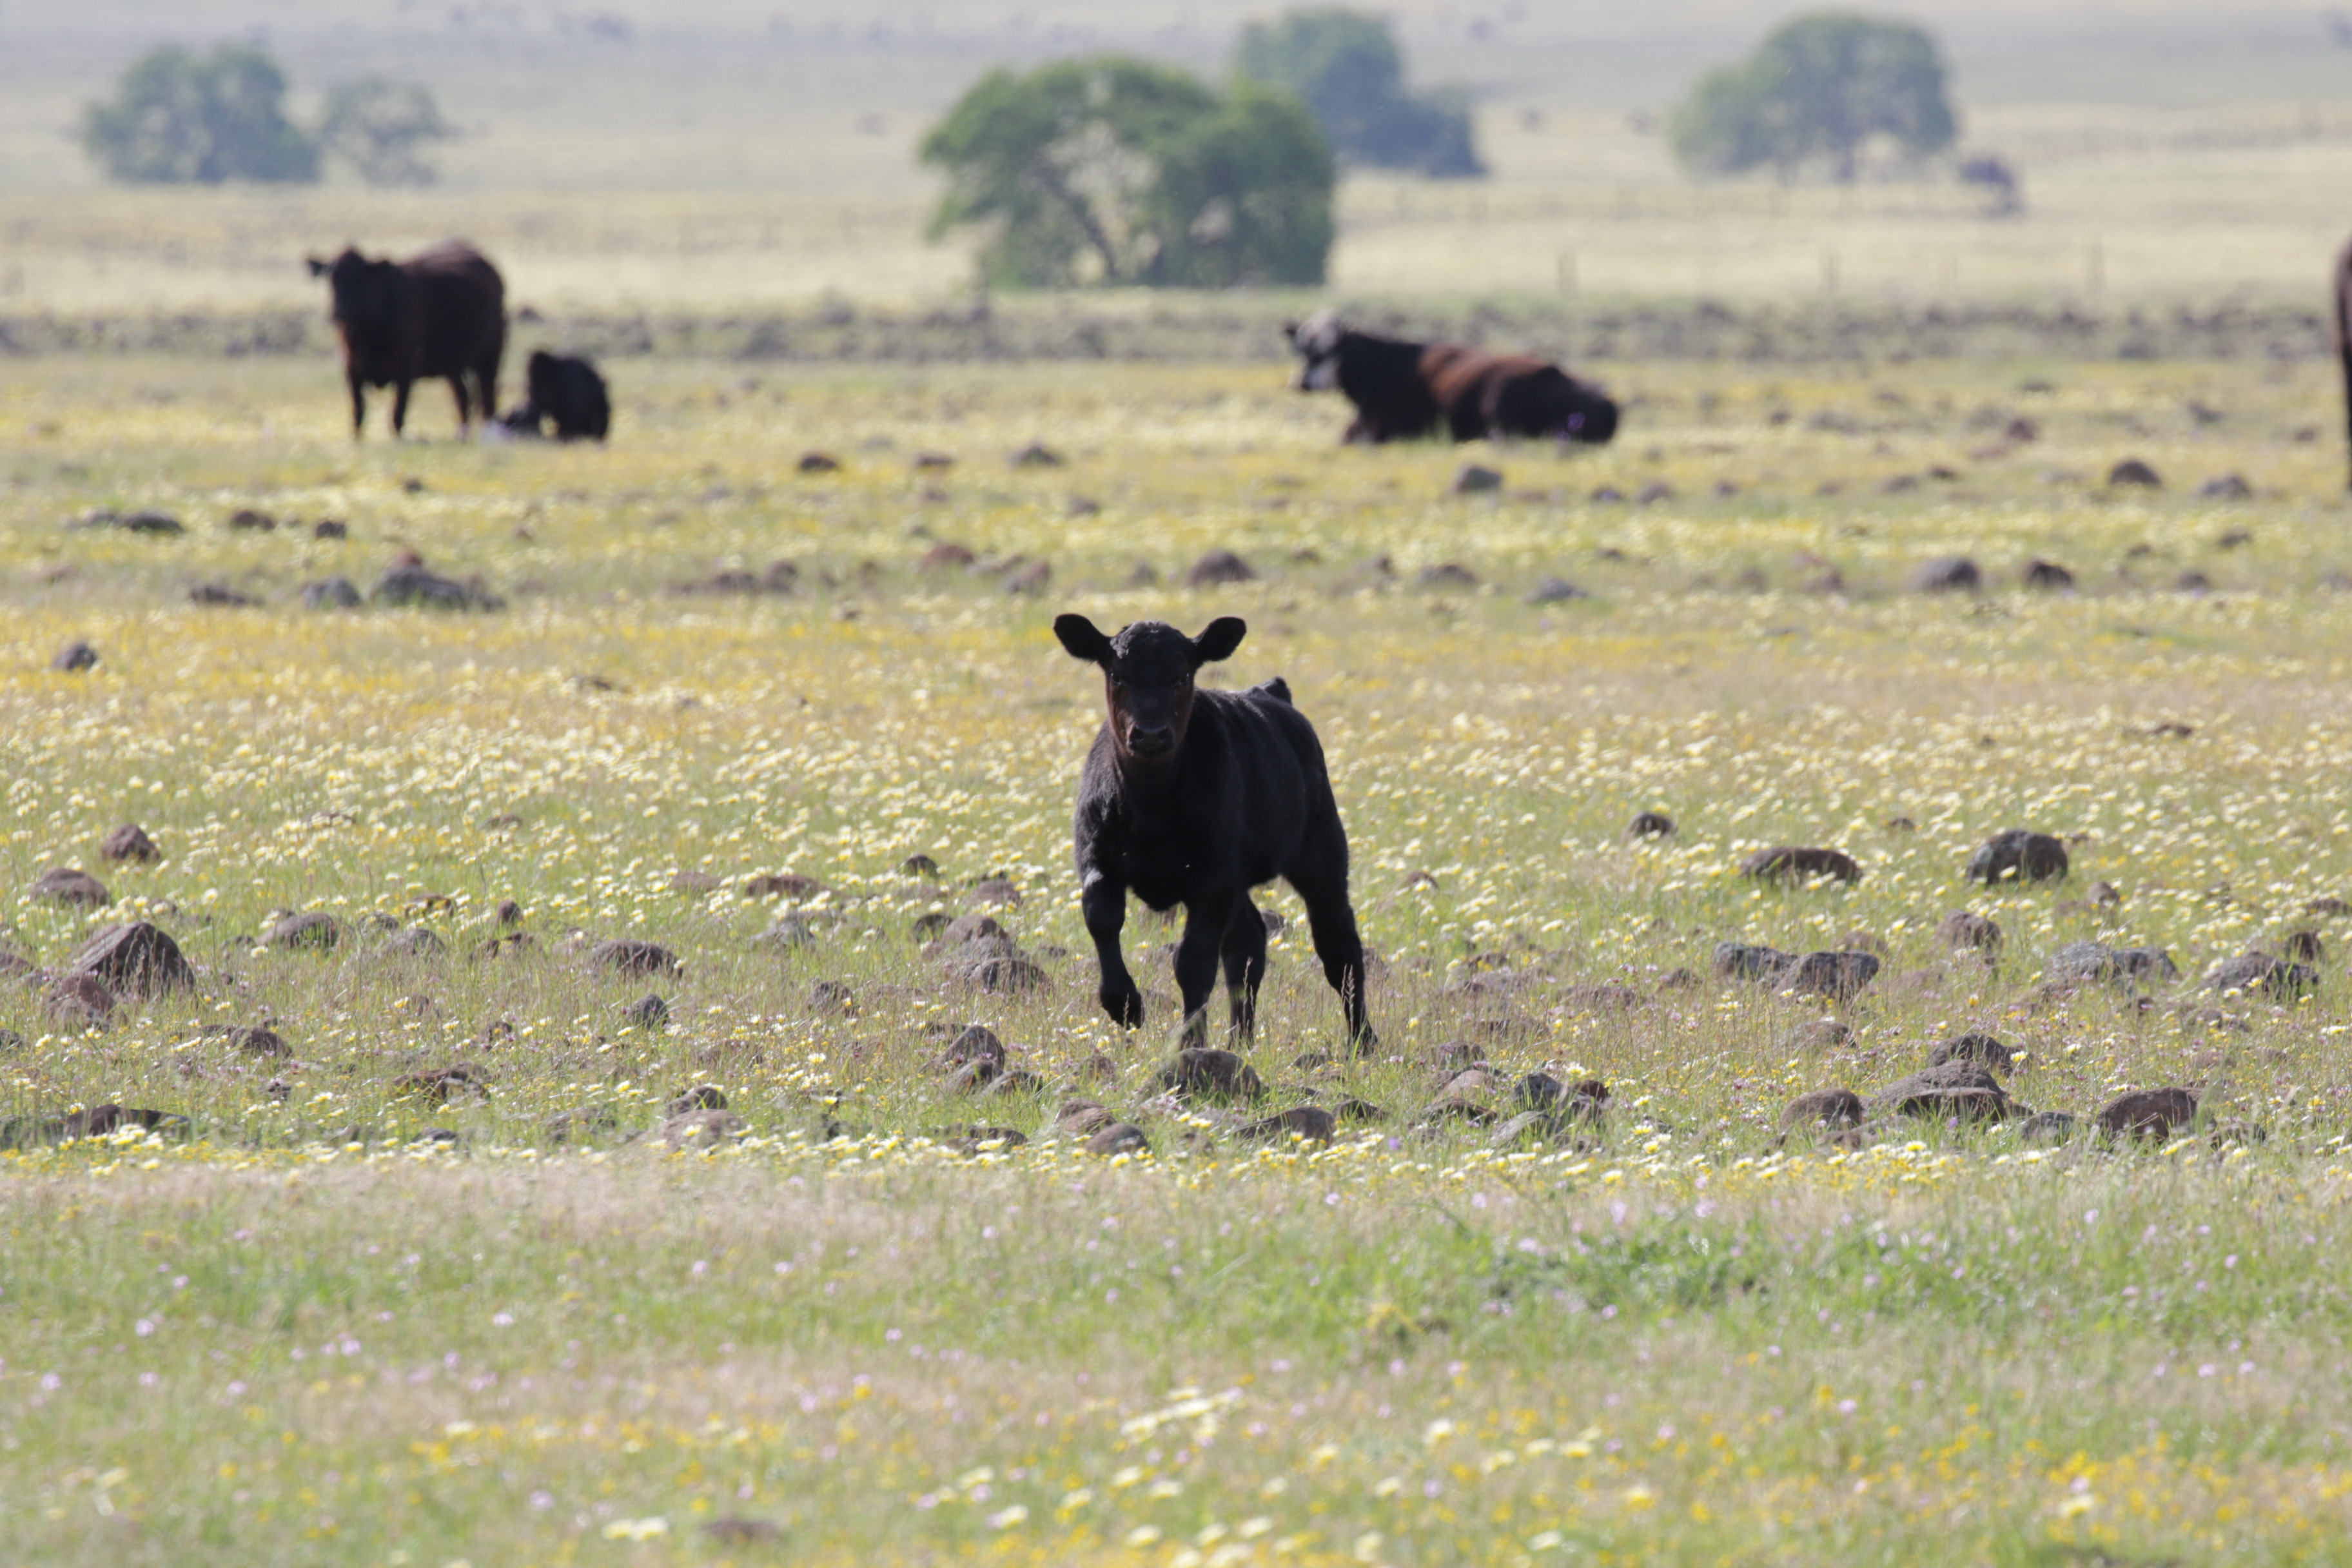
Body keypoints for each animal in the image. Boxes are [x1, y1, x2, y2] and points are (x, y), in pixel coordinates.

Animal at [306, 241, 506, 439]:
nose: (341, 311)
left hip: (491, 354)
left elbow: (398, 414)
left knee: (488, 397)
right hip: (452, 364)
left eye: (361, 278)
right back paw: (462, 435)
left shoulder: (405, 369)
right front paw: (357, 441)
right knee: (463, 396)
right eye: (332, 277)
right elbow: (358, 412)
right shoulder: (352, 369)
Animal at [1054, 613, 1377, 1053]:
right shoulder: (1096, 857)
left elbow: (1193, 962)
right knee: (1249, 940)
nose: (1150, 733)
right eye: (1117, 675)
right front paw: (1125, 1005)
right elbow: (1102, 919)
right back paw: (1241, 1040)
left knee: (1338, 944)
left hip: (1321, 851)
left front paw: (1188, 1043)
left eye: (1183, 676)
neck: (1150, 810)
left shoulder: (1213, 879)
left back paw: (1362, 1041)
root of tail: (1271, 692)